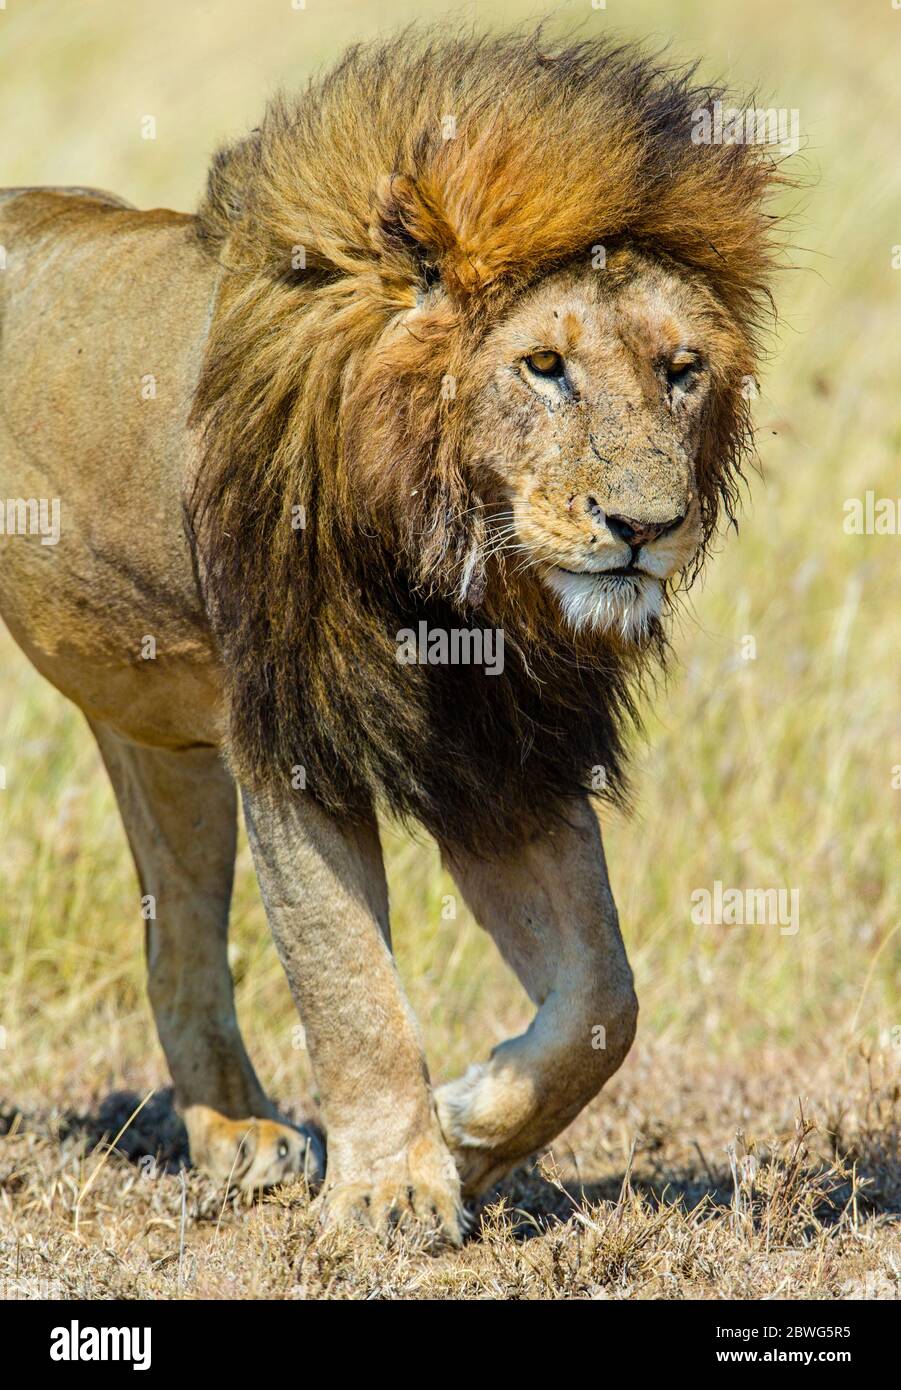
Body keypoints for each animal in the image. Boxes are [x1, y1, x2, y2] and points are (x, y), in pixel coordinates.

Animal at [0, 32, 781, 1243]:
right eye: (543, 366)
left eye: (679, 368)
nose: (647, 528)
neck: (454, 578)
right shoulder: (292, 736)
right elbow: (350, 981)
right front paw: (392, 1191)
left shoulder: (504, 757)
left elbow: (605, 999)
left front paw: (466, 1129)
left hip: (160, 736)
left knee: (178, 939)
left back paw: (237, 1132)